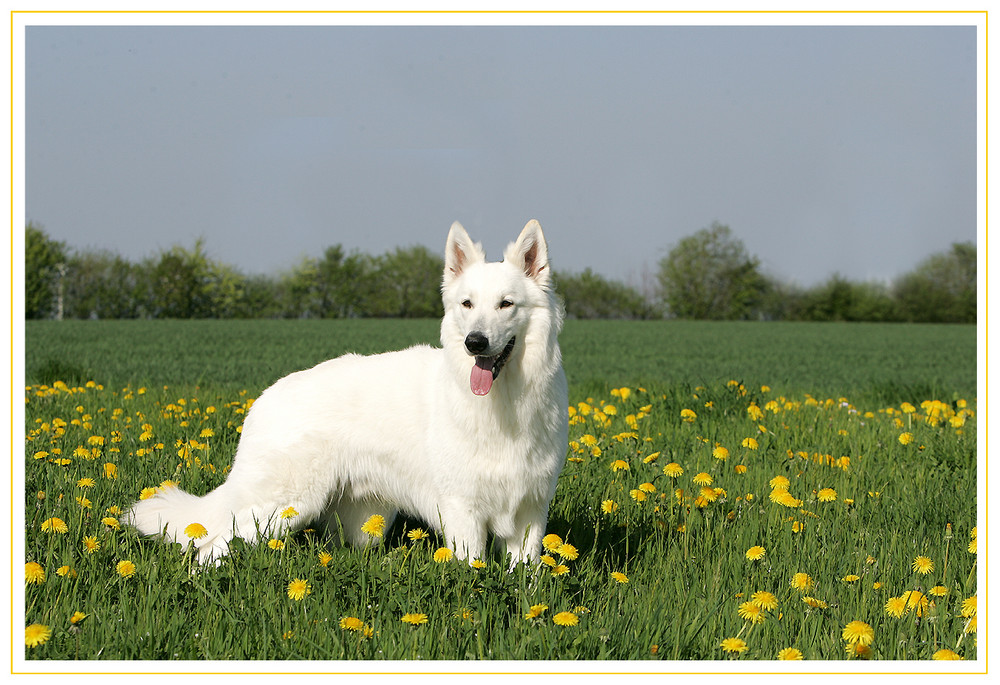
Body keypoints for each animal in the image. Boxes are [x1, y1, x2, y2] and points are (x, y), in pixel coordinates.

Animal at [123, 220, 572, 568]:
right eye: (467, 304)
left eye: (506, 304)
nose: (474, 343)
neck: (503, 404)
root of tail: (264, 398)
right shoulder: (463, 509)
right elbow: (471, 570)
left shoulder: (531, 511)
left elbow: (526, 574)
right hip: (285, 505)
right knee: (211, 544)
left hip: (361, 523)